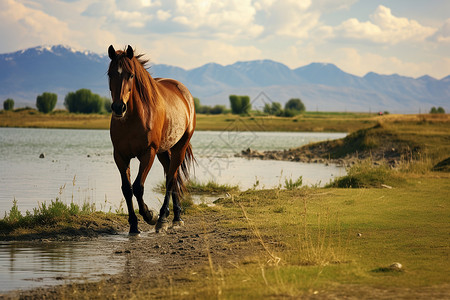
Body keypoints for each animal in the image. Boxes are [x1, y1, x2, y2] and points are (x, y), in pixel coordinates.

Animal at [107, 45, 197, 234]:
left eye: (131, 75)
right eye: (110, 74)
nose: (119, 107)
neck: (134, 117)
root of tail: (184, 92)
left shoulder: (148, 153)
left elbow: (138, 187)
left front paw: (150, 215)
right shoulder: (120, 155)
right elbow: (127, 189)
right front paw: (134, 225)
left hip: (179, 147)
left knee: (170, 179)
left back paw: (163, 218)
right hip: (163, 151)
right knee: (173, 175)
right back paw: (176, 217)